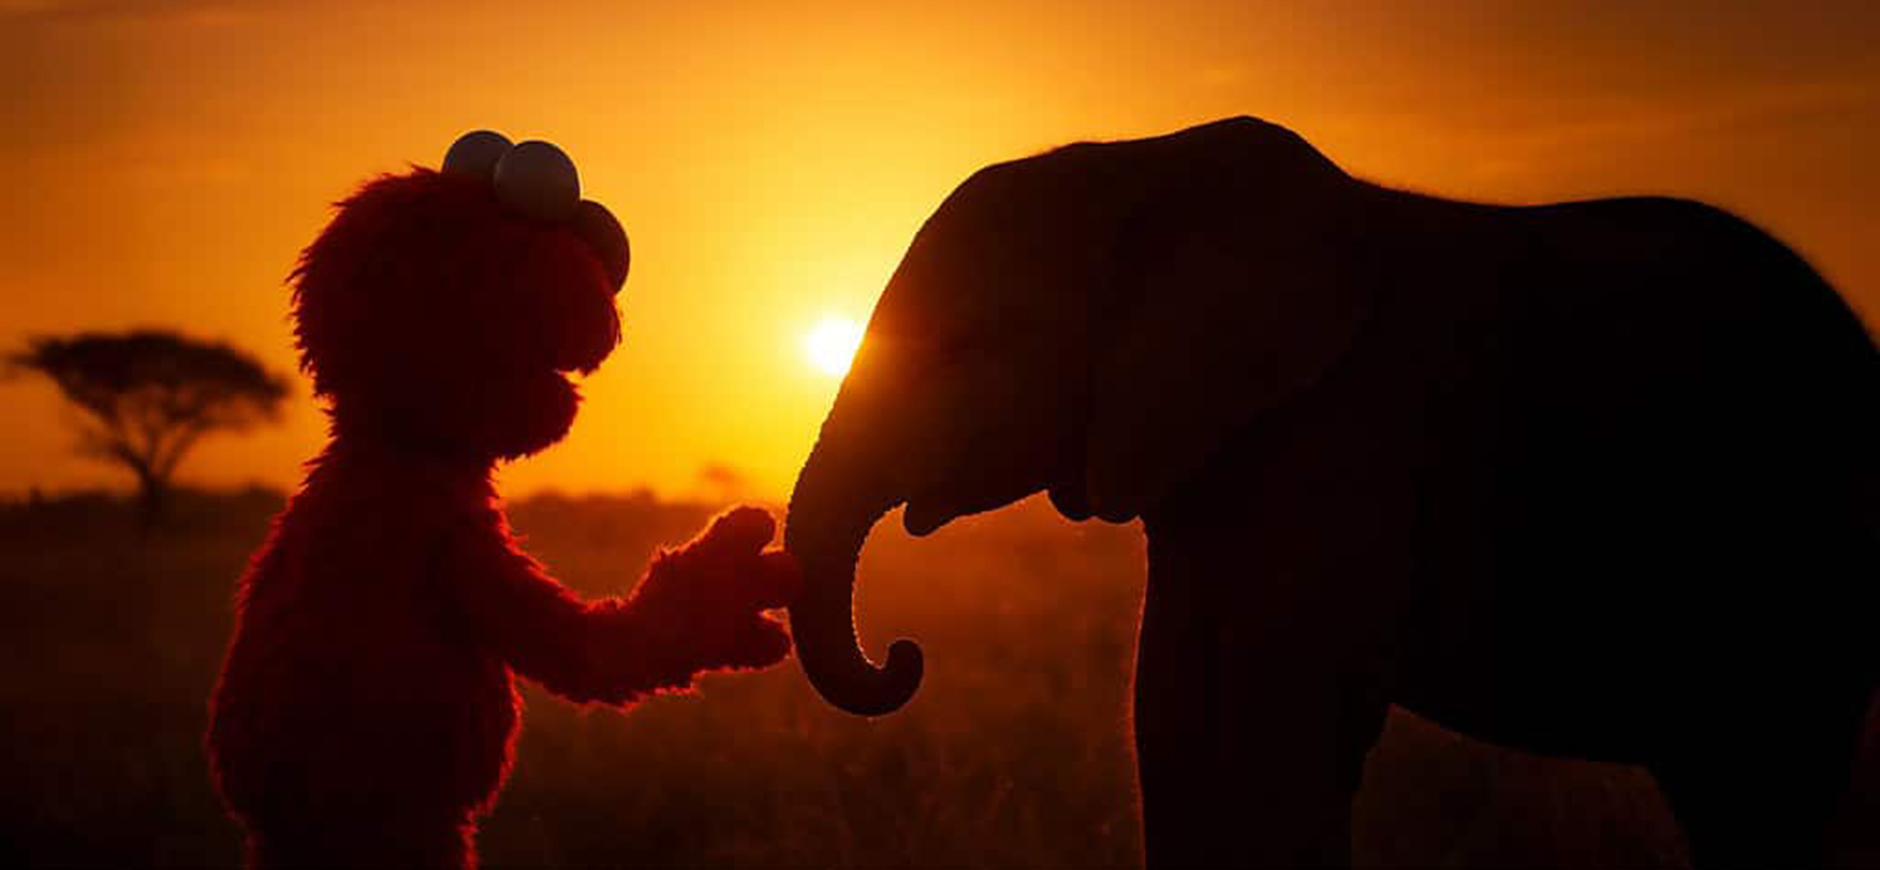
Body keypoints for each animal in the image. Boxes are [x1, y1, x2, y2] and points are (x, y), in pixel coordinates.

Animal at [782, 116, 1879, 867]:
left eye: (959, 347)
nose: (905, 656)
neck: (1140, 164)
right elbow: (1172, 712)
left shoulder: (1348, 432)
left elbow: (1275, 722)